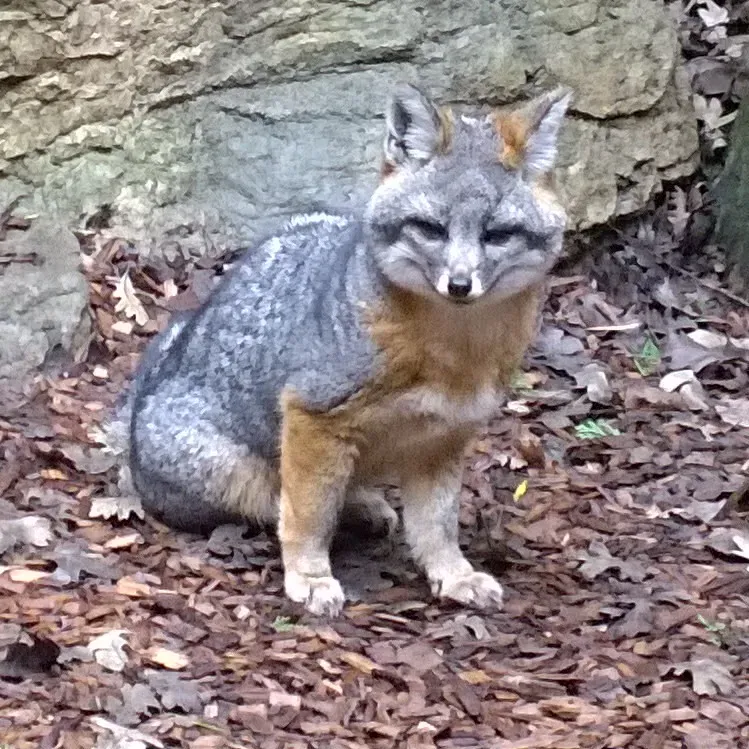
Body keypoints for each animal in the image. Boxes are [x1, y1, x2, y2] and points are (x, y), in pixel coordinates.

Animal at [104, 82, 572, 617]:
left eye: (497, 235)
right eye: (431, 229)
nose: (458, 285)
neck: (452, 352)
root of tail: (139, 410)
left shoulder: (445, 438)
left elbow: (437, 525)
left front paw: (453, 574)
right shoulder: (314, 415)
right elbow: (308, 515)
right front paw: (310, 577)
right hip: (236, 473)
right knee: (280, 501)